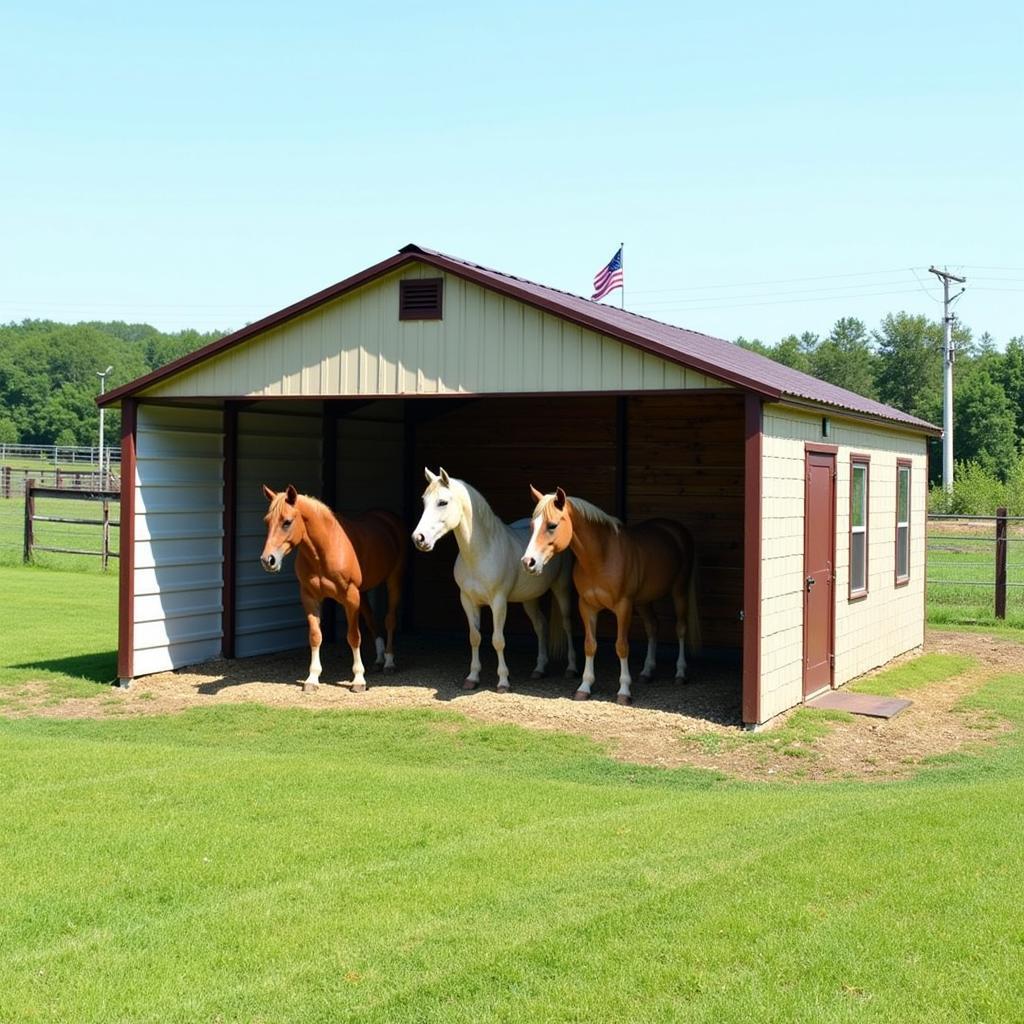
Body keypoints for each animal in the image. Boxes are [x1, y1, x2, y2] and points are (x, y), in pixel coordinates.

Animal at [258, 483, 405, 692]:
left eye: (287, 522)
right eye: (267, 521)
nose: (267, 560)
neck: (325, 550)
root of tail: (388, 518)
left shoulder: (350, 597)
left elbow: (354, 636)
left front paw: (358, 679)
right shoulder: (309, 597)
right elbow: (315, 636)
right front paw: (312, 678)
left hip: (393, 580)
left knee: (390, 620)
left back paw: (389, 662)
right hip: (363, 592)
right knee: (371, 620)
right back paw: (379, 659)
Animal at [413, 468, 577, 692]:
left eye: (443, 502)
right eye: (424, 501)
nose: (418, 538)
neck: (480, 553)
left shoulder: (498, 602)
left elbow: (498, 640)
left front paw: (503, 681)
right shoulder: (468, 601)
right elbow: (475, 637)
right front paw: (472, 678)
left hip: (561, 588)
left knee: (568, 625)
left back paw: (571, 668)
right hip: (529, 598)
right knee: (541, 626)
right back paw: (539, 669)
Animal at [524, 487, 700, 704]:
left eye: (552, 525)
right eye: (532, 526)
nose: (528, 562)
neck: (601, 557)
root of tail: (676, 530)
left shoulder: (623, 607)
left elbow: (622, 646)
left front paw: (624, 691)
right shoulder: (587, 606)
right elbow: (590, 645)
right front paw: (584, 687)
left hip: (679, 591)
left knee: (681, 629)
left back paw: (680, 673)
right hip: (643, 601)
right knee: (652, 627)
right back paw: (647, 672)